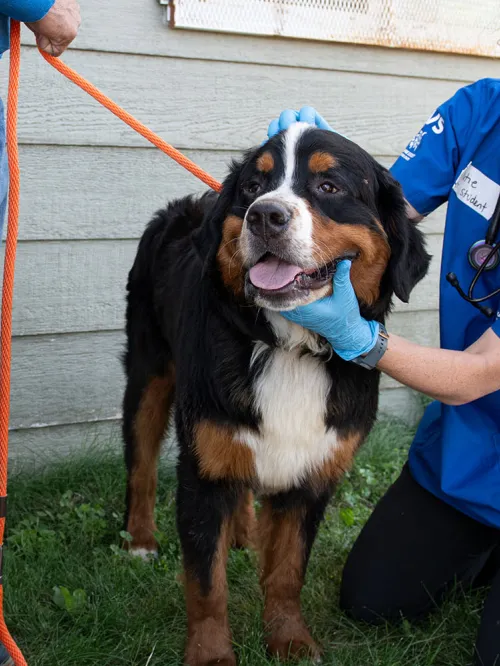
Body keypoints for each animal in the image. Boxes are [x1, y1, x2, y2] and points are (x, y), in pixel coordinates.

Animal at [121, 123, 430, 660]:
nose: (264, 214)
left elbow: (287, 570)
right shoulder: (203, 470)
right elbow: (207, 584)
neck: (290, 348)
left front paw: (290, 640)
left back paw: (242, 532)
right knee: (141, 465)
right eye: (251, 187)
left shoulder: (312, 475)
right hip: (149, 375)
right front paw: (211, 655)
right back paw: (140, 540)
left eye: (328, 186)